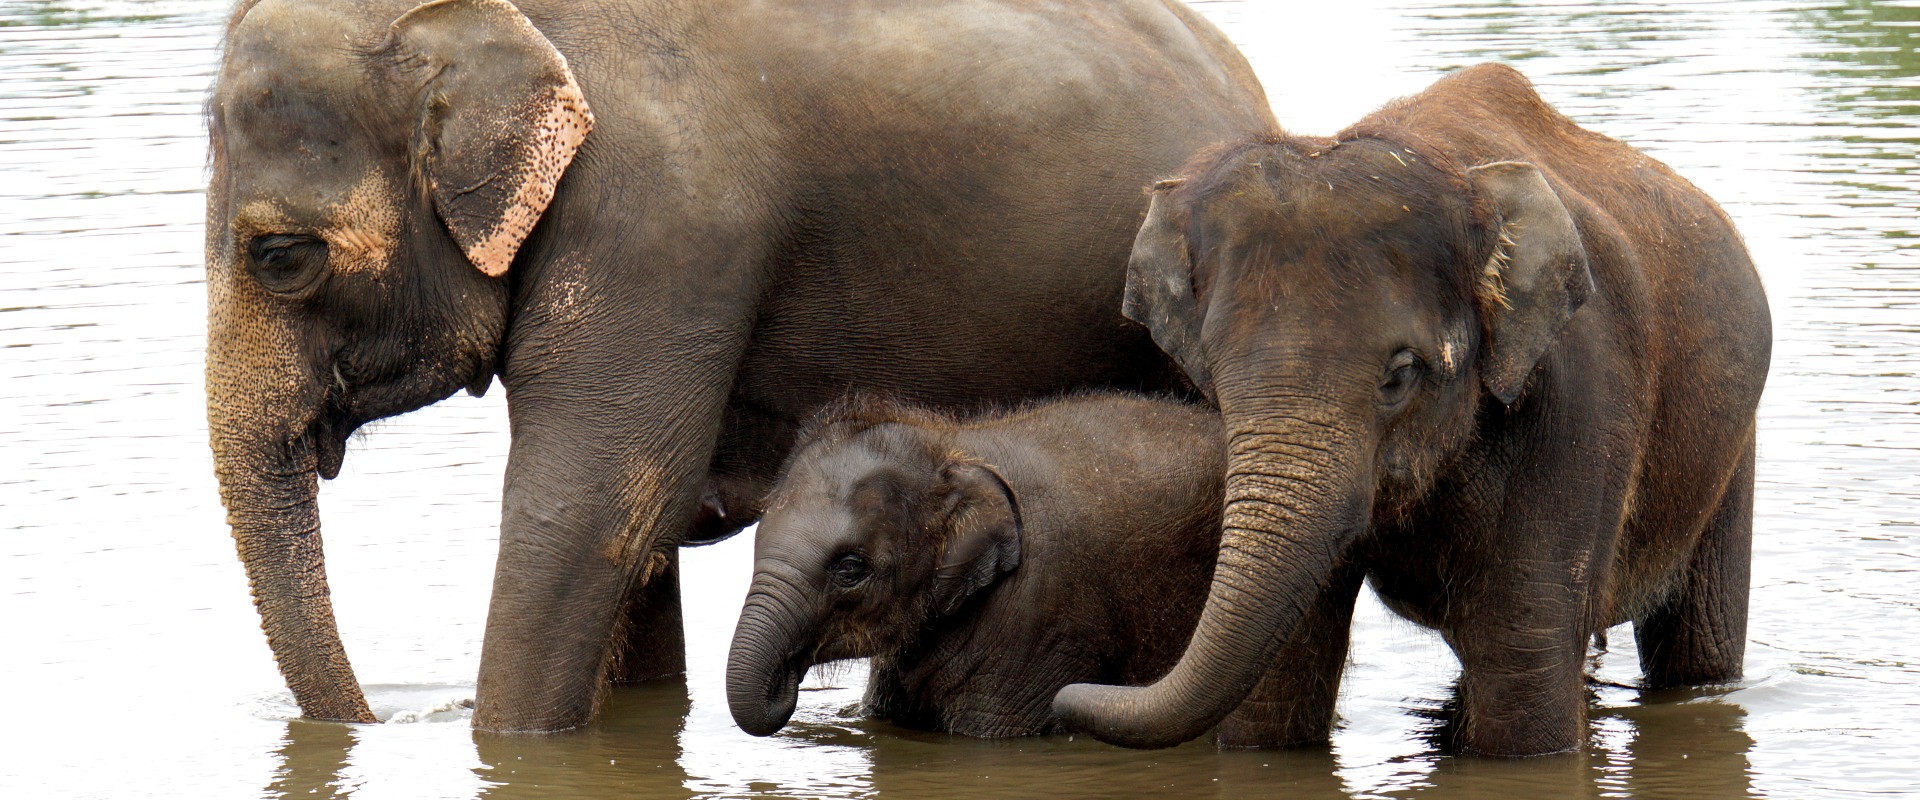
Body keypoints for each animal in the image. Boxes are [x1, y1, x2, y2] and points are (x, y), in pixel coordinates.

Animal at [1052, 63, 1772, 756]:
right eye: (1213, 378)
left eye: (1399, 376)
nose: (1066, 699)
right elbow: (1281, 680)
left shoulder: (1582, 401)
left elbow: (1524, 676)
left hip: (1733, 449)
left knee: (1695, 645)